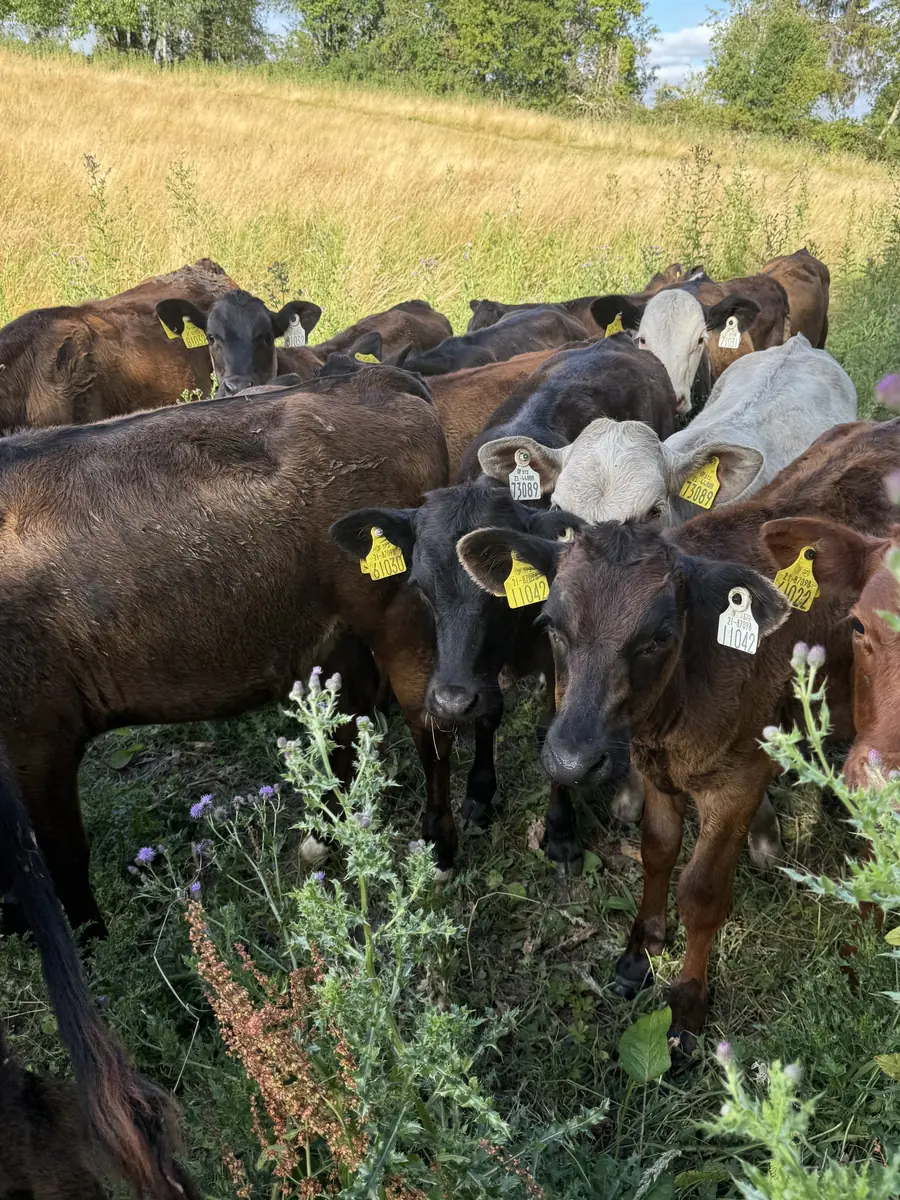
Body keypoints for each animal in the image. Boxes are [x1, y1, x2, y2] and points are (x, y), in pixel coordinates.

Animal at [0, 361, 459, 937]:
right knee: (344, 726)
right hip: (336, 637)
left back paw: (439, 851)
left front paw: (91, 941)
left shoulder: (37, 738)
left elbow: (61, 860)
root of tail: (375, 378)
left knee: (429, 723)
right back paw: (325, 837)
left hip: (401, 617)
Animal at [331, 336, 678, 867]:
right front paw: (478, 791)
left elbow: (552, 725)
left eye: (498, 594)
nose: (450, 700)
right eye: (421, 587)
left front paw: (560, 829)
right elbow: (489, 714)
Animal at [457, 418, 900, 1038]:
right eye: (550, 623)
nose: (571, 759)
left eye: (660, 635)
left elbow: (702, 892)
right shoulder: (654, 773)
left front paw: (688, 1005)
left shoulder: (738, 782)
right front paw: (639, 953)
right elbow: (657, 852)